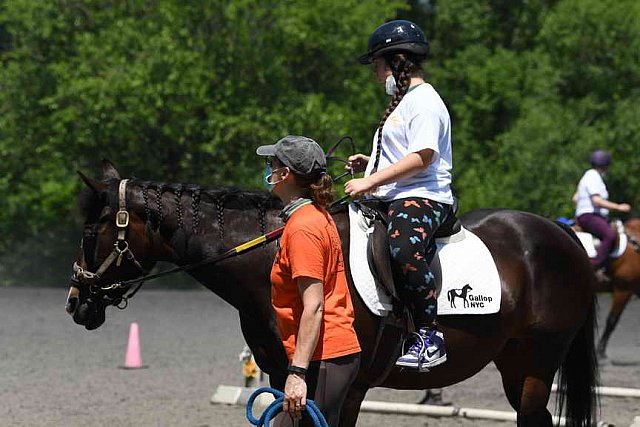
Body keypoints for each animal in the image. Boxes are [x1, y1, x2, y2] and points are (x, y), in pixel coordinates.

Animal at [66, 162, 600, 426]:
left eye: (91, 230)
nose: (76, 302)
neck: (271, 254)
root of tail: (558, 232)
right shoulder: (288, 379)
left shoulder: (338, 382)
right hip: (515, 365)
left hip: (537, 363)